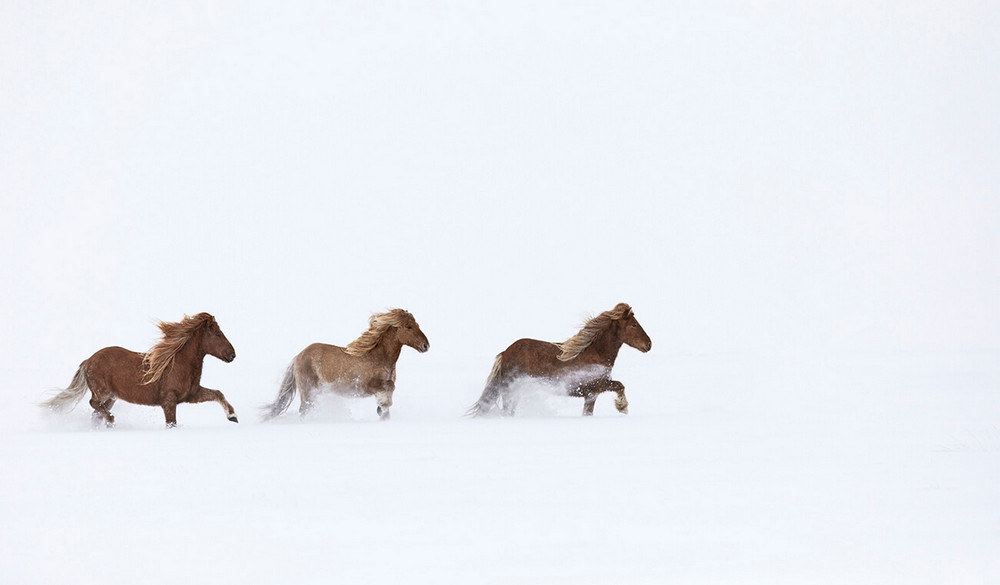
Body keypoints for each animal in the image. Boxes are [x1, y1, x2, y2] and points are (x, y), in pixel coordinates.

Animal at [43, 312, 240, 426]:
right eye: (218, 334)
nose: (232, 355)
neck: (178, 363)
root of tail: (88, 361)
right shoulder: (169, 401)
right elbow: (172, 423)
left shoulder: (192, 394)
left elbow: (217, 393)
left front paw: (233, 416)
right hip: (103, 392)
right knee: (94, 404)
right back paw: (111, 420)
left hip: (112, 397)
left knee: (96, 412)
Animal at [260, 308, 428, 422]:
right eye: (409, 327)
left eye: (417, 324)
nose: (426, 346)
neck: (377, 357)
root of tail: (298, 356)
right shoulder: (367, 386)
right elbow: (389, 388)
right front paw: (383, 406)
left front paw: (382, 411)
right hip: (308, 391)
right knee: (304, 411)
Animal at [466, 304, 652, 418]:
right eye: (634, 325)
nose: (649, 344)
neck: (595, 352)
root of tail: (505, 353)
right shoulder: (597, 385)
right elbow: (620, 385)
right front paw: (622, 407)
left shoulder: (591, 394)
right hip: (510, 392)